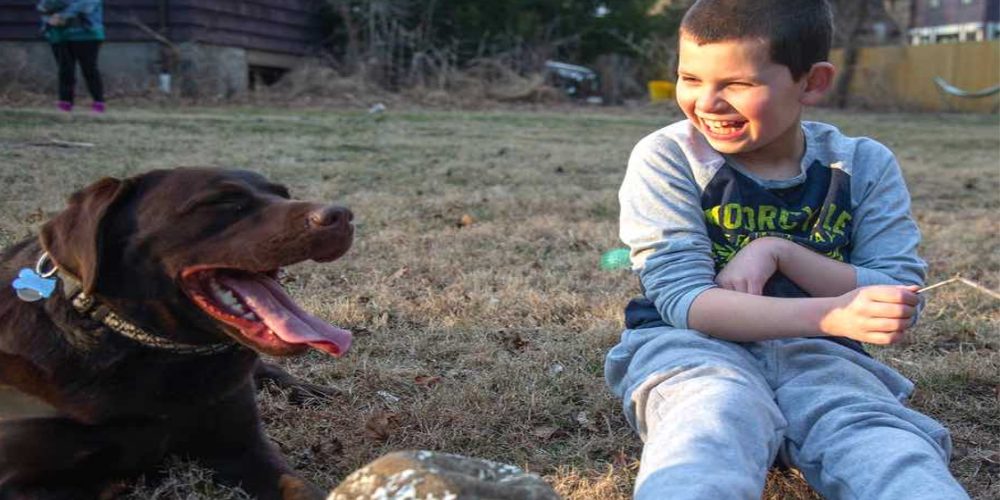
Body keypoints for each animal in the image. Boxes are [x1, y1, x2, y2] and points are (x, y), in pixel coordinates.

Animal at [0, 169, 354, 500]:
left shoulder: (244, 447)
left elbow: (300, 486)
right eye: (221, 202)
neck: (158, 351)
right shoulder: (22, 480)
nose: (342, 215)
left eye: (283, 194)